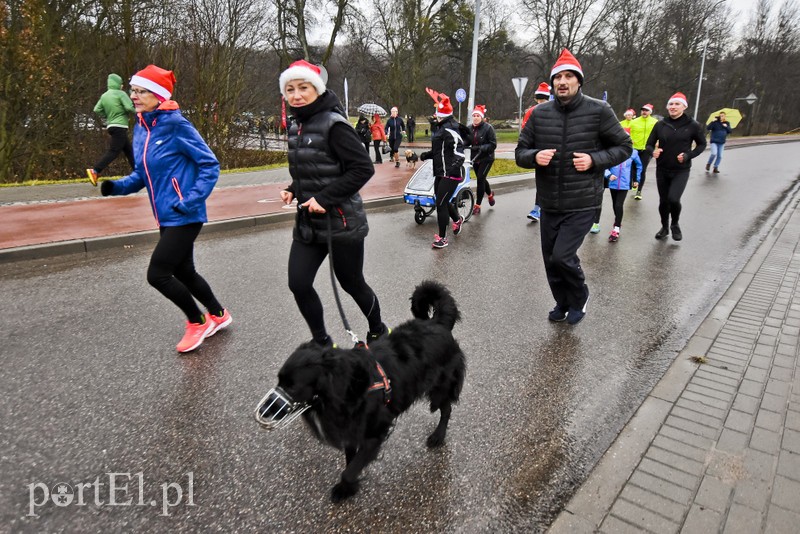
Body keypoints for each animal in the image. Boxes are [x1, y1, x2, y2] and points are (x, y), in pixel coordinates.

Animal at [276, 282, 466, 504]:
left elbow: (350, 469)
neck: (347, 386)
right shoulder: (351, 427)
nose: (264, 413)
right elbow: (350, 459)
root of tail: (438, 322)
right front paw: (348, 488)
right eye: (278, 381)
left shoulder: (376, 431)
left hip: (440, 387)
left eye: (292, 387)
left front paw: (345, 486)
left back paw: (438, 435)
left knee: (446, 409)